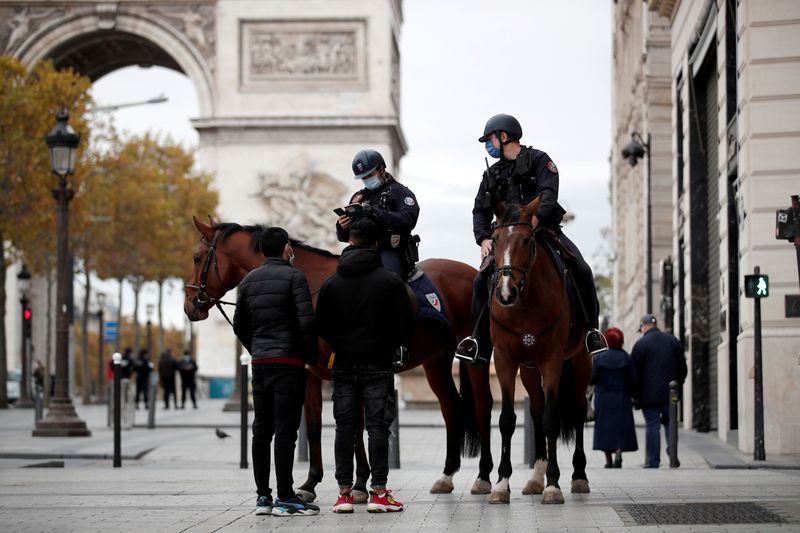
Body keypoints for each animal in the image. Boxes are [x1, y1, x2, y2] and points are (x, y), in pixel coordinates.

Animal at [183, 216, 494, 498]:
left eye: (197, 258)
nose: (189, 306)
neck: (312, 286)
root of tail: (473, 272)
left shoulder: (347, 368)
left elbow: (355, 425)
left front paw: (359, 484)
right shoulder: (311, 371)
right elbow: (314, 425)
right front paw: (311, 482)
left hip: (474, 356)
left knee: (482, 406)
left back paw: (484, 477)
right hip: (435, 360)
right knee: (451, 408)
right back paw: (447, 474)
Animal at [484, 197, 592, 504]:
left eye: (526, 239)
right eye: (495, 239)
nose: (505, 292)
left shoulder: (552, 361)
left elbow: (551, 420)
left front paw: (554, 485)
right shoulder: (505, 361)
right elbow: (508, 420)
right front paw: (501, 483)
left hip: (579, 362)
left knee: (578, 411)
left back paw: (579, 475)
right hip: (529, 370)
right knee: (536, 408)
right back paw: (535, 477)